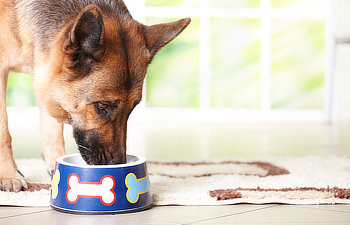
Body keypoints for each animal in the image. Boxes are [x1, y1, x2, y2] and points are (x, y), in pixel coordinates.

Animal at [0, 0, 190, 192]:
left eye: (132, 108)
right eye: (102, 106)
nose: (118, 164)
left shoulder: (45, 75)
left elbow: (52, 128)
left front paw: (56, 165)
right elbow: (4, 131)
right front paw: (8, 174)